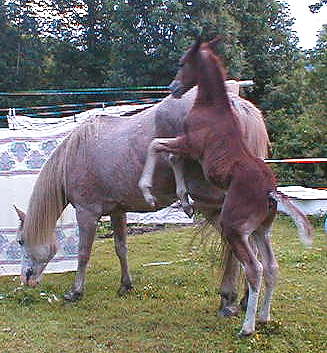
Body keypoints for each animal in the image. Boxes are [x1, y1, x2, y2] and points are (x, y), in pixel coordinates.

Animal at [15, 84, 270, 314]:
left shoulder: (87, 213)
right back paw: (245, 298)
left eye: (20, 241)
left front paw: (75, 291)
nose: (26, 279)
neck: (74, 155)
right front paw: (125, 285)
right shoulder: (118, 210)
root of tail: (238, 105)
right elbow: (121, 248)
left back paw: (229, 298)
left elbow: (84, 252)